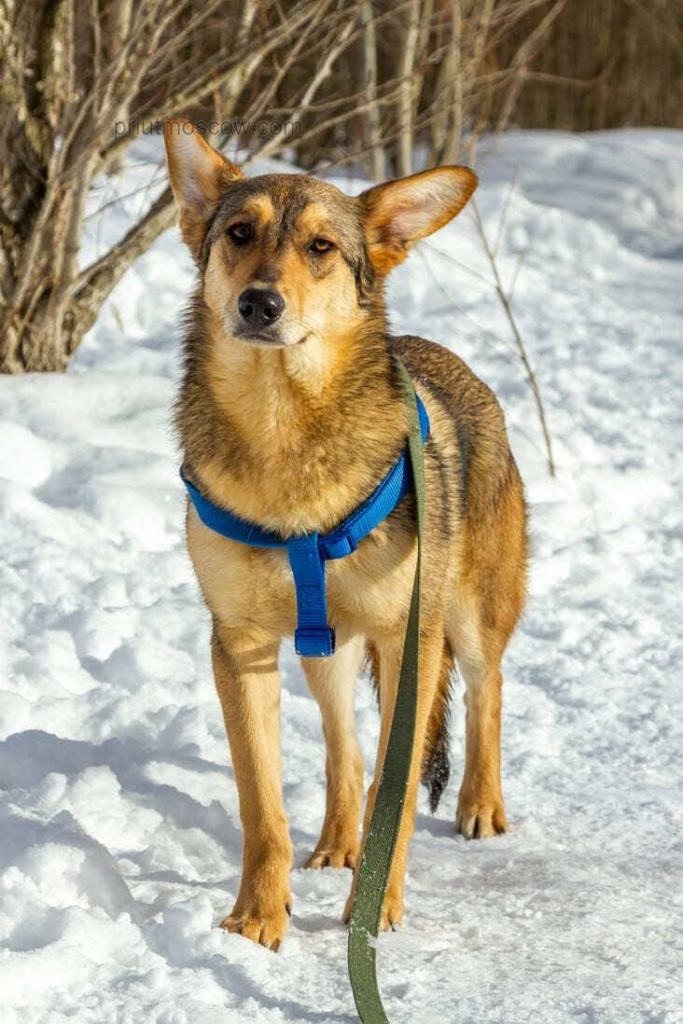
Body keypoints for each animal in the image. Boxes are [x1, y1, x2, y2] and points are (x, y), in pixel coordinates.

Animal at [162, 119, 528, 950]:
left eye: (321, 247)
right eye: (239, 233)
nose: (259, 303)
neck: (283, 433)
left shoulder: (407, 640)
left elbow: (398, 799)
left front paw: (373, 912)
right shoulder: (239, 645)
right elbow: (262, 808)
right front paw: (257, 919)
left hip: (466, 617)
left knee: (486, 693)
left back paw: (479, 806)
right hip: (322, 650)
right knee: (345, 751)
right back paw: (336, 844)